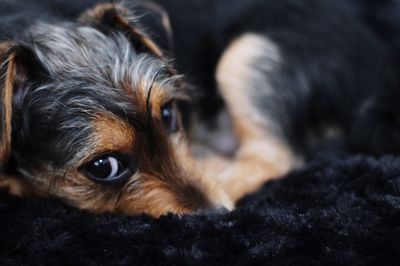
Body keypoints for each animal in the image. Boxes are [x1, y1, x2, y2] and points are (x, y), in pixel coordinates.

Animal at [0, 0, 398, 217]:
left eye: (168, 115)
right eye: (103, 167)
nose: (214, 217)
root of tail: (379, 64)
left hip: (246, 57)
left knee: (274, 156)